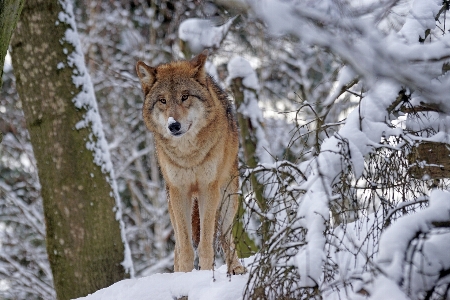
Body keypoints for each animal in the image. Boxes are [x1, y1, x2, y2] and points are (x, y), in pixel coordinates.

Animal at [135, 50, 244, 276]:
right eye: (162, 100)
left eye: (185, 96)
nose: (173, 126)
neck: (188, 155)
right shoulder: (179, 191)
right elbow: (185, 247)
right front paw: (184, 276)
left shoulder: (208, 189)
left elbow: (205, 243)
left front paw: (205, 274)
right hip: (172, 205)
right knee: (177, 246)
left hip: (228, 197)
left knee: (225, 235)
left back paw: (236, 268)